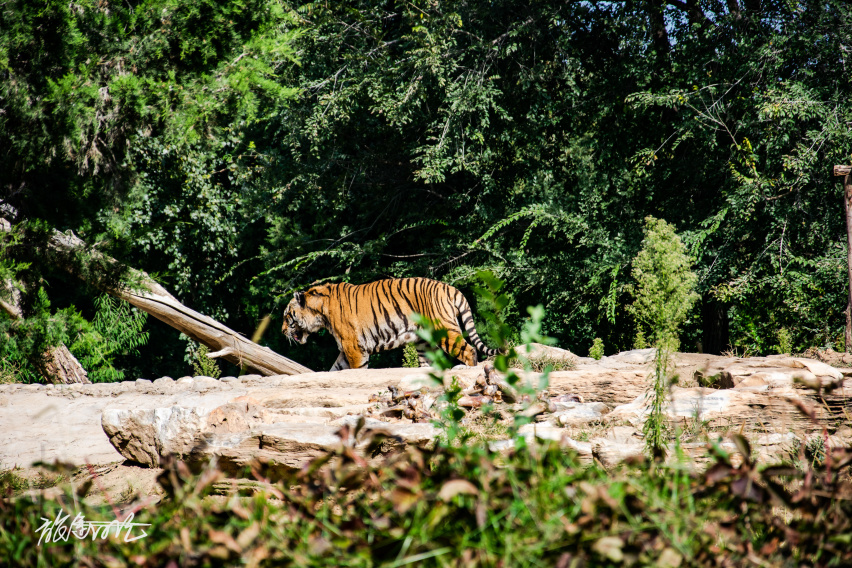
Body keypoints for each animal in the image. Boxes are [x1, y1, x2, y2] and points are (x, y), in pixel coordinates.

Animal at [280, 276, 496, 372]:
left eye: (287, 316)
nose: (282, 332)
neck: (321, 313)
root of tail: (451, 288)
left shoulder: (354, 348)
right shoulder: (345, 349)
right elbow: (336, 370)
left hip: (444, 330)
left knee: (469, 351)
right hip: (424, 344)